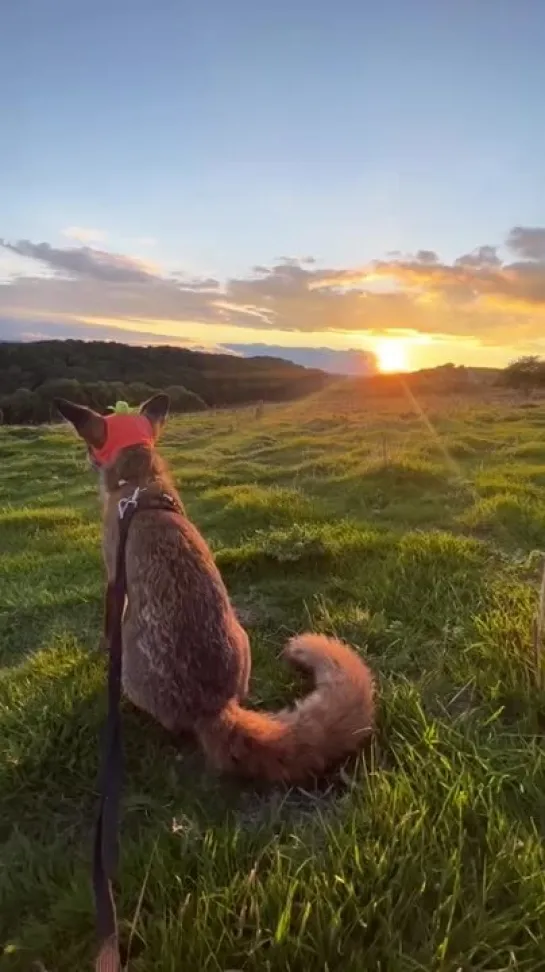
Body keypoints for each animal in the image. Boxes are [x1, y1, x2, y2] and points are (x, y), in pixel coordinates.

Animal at [57, 394, 376, 784]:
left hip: (133, 676)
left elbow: (107, 623)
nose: (84, 457)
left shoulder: (113, 577)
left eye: (92, 443)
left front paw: (101, 650)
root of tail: (211, 707)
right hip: (244, 639)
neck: (141, 488)